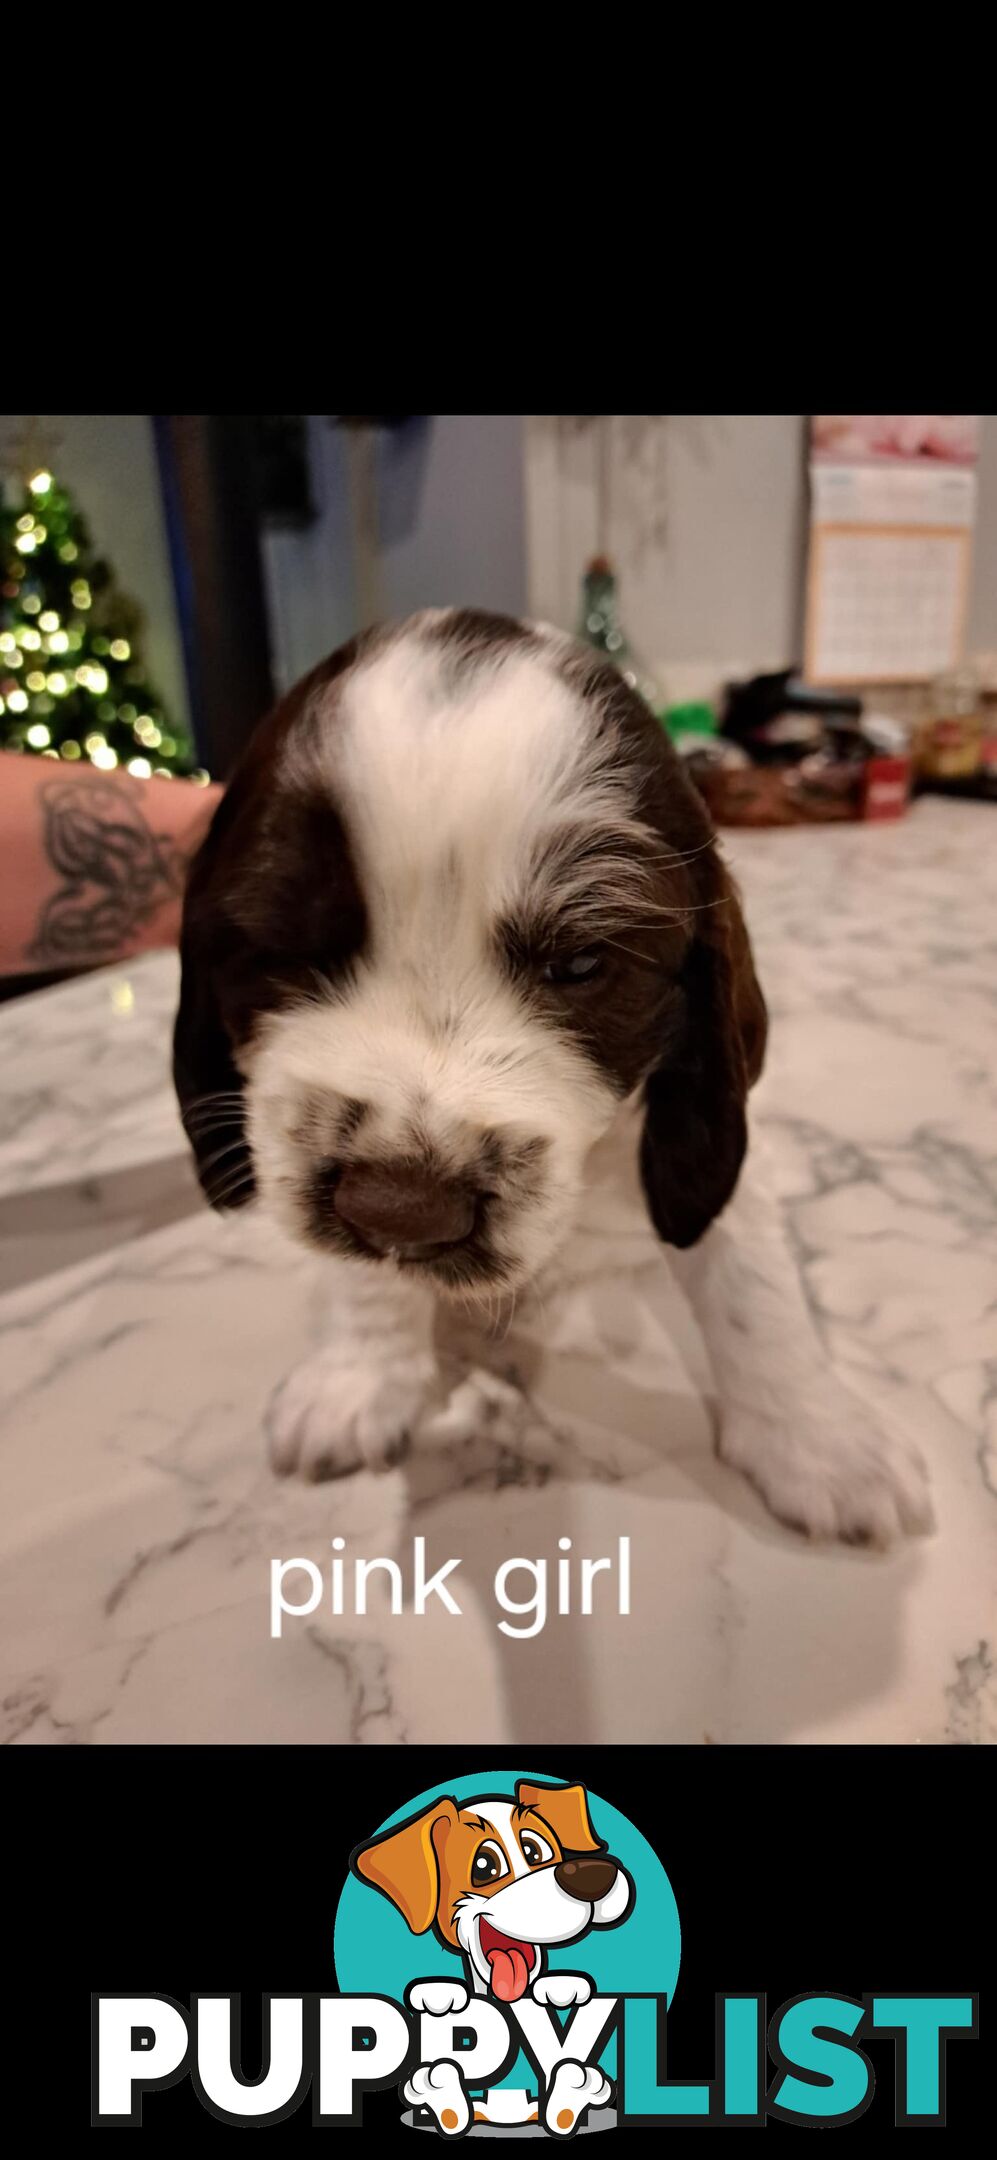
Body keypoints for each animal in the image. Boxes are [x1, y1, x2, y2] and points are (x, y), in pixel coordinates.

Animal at [174, 609, 932, 1555]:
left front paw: (820, 1439)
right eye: (280, 951)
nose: (405, 1210)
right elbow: (360, 1267)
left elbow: (748, 1272)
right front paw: (358, 1376)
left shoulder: (701, 1132)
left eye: (578, 964)